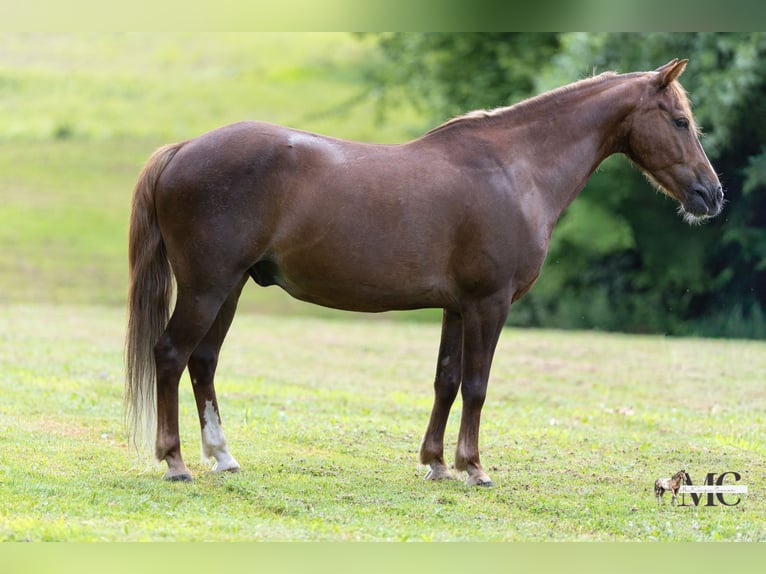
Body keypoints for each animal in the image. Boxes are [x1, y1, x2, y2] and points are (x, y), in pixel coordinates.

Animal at [125, 59, 723, 484]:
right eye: (681, 121)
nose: (712, 195)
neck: (515, 169)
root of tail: (183, 149)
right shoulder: (488, 304)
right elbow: (477, 385)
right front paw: (473, 467)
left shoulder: (456, 308)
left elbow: (446, 381)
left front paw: (435, 462)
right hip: (206, 288)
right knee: (171, 355)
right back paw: (175, 461)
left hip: (228, 290)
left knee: (203, 362)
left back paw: (222, 457)